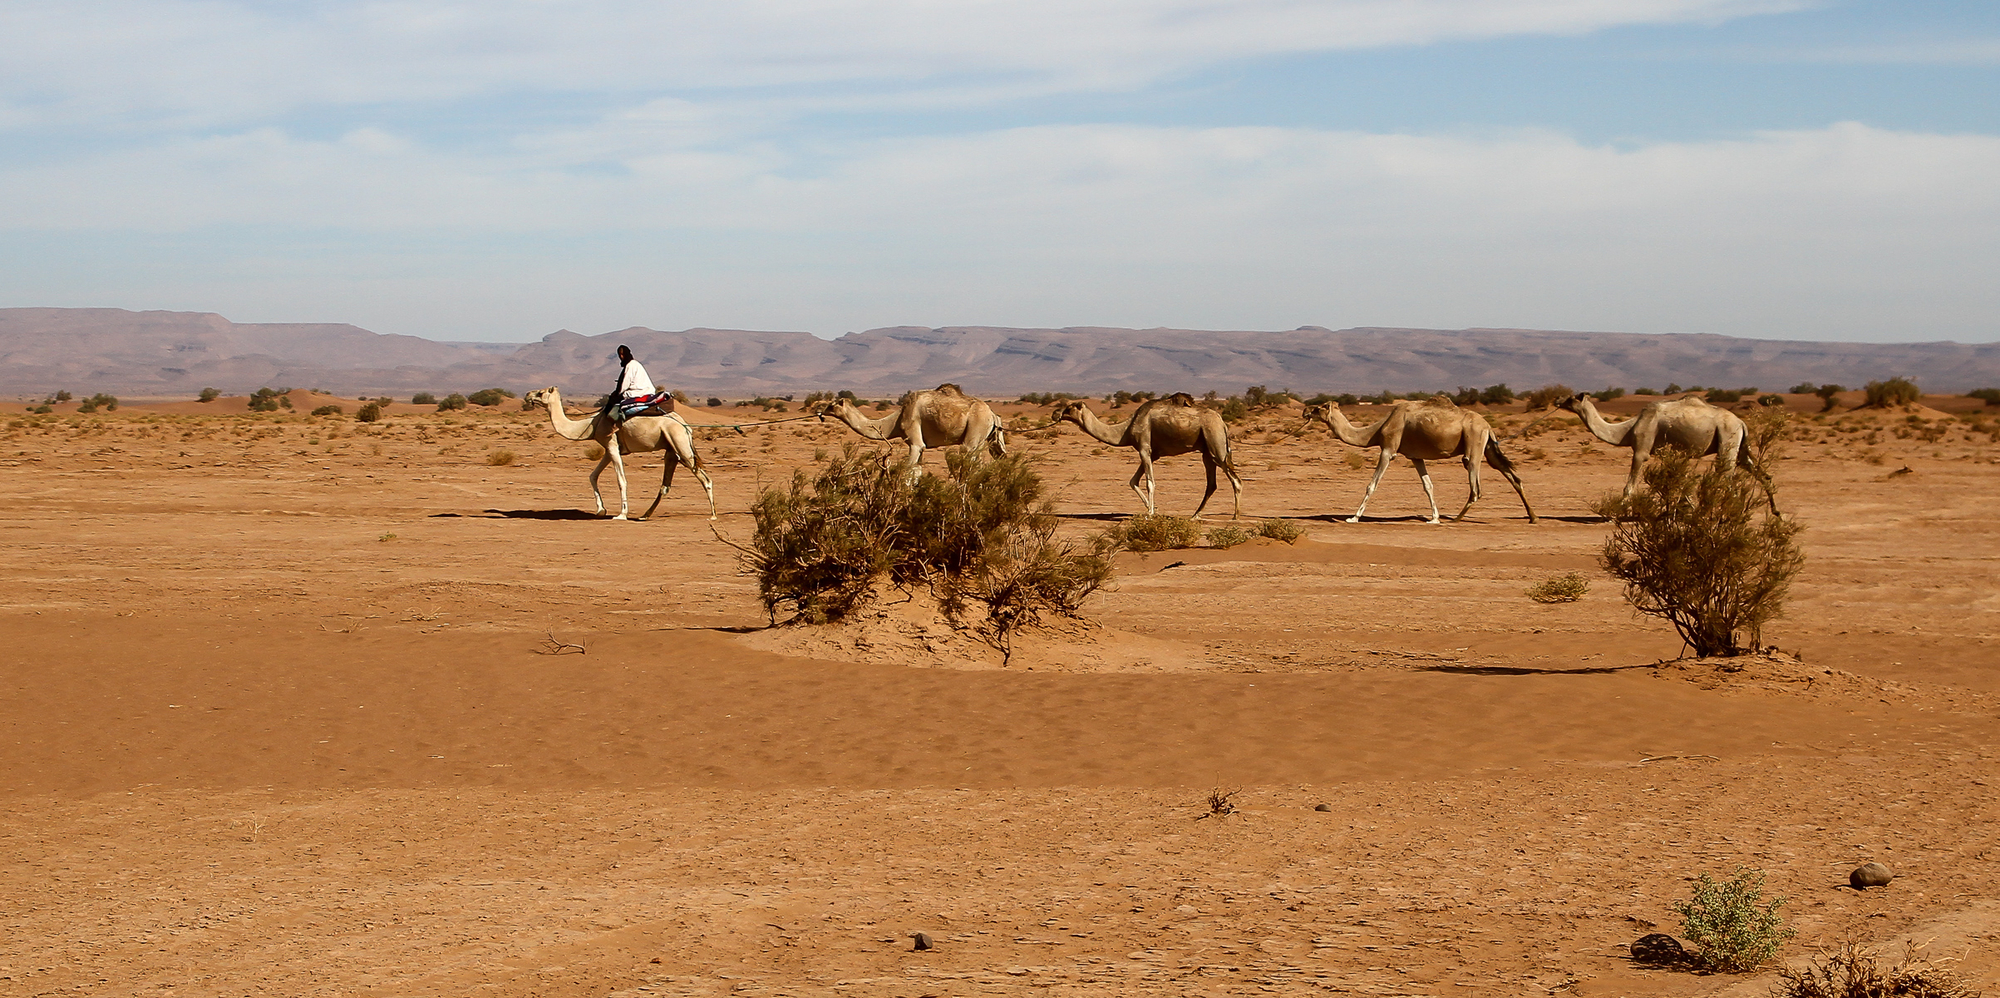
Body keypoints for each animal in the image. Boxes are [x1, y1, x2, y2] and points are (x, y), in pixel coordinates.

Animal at [524, 386, 720, 520]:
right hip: (672, 450)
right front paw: (600, 510)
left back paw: (712, 515)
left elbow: (621, 480)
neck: (592, 425)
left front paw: (621, 514)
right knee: (665, 485)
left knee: (705, 478)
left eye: (541, 392)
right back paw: (645, 515)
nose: (527, 395)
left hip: (680, 443)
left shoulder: (610, 443)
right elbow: (592, 476)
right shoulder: (609, 447)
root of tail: (686, 426)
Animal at [808, 382, 1000, 476]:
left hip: (974, 431)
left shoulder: (915, 442)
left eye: (832, 405)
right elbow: (916, 474)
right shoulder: (921, 447)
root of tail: (992, 414)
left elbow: (906, 474)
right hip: (981, 439)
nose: (819, 409)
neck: (896, 421)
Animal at [1048, 396, 1232, 524]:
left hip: (1215, 445)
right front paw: (1152, 508)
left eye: (1069, 407)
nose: (1054, 413)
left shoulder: (1144, 449)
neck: (1126, 430)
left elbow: (1150, 482)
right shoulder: (1154, 454)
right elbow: (1133, 481)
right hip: (1208, 451)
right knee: (1213, 482)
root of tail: (1222, 422)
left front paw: (1150, 514)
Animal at [1304, 396, 1536, 528]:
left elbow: (1372, 484)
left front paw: (1353, 518)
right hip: (1488, 447)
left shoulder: (1389, 449)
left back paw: (1456, 520)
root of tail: (1487, 425)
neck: (1377, 431)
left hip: (1474, 443)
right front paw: (1433, 518)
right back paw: (1533, 518)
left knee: (1475, 486)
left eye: (1320, 407)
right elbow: (1428, 485)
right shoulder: (1415, 456)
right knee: (1512, 476)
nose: (1305, 410)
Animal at [1552, 394, 1776, 508]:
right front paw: (1686, 507)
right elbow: (1680, 482)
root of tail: (1741, 422)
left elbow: (1630, 484)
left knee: (1728, 476)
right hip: (1740, 446)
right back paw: (1775, 514)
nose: (1556, 399)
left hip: (1728, 436)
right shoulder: (1668, 452)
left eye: (1571, 398)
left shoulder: (1642, 447)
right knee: (1761, 474)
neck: (1628, 429)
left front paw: (1619, 509)